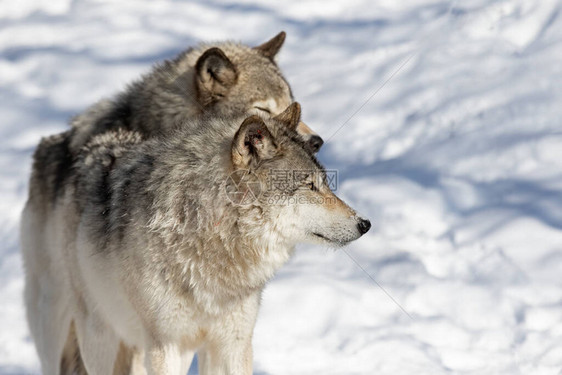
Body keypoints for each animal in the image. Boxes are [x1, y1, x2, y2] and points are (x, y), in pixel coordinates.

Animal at [21, 103, 370, 375]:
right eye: (310, 186)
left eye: (325, 182)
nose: (365, 224)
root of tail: (63, 139)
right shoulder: (166, 345)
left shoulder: (232, 343)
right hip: (82, 333)